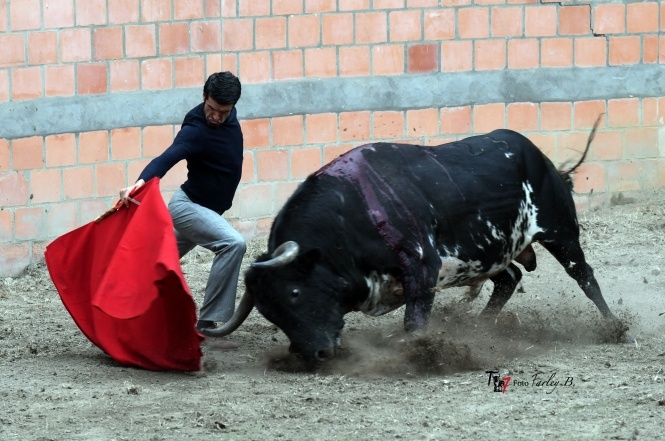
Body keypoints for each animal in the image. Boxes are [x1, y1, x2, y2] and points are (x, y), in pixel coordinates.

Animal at [204, 117, 624, 360]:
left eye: (293, 292)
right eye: (269, 313)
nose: (314, 354)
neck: (347, 217)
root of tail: (538, 155)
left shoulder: (422, 264)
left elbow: (414, 319)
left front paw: (418, 351)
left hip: (560, 231)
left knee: (584, 276)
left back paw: (614, 327)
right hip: (489, 256)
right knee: (509, 279)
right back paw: (481, 329)